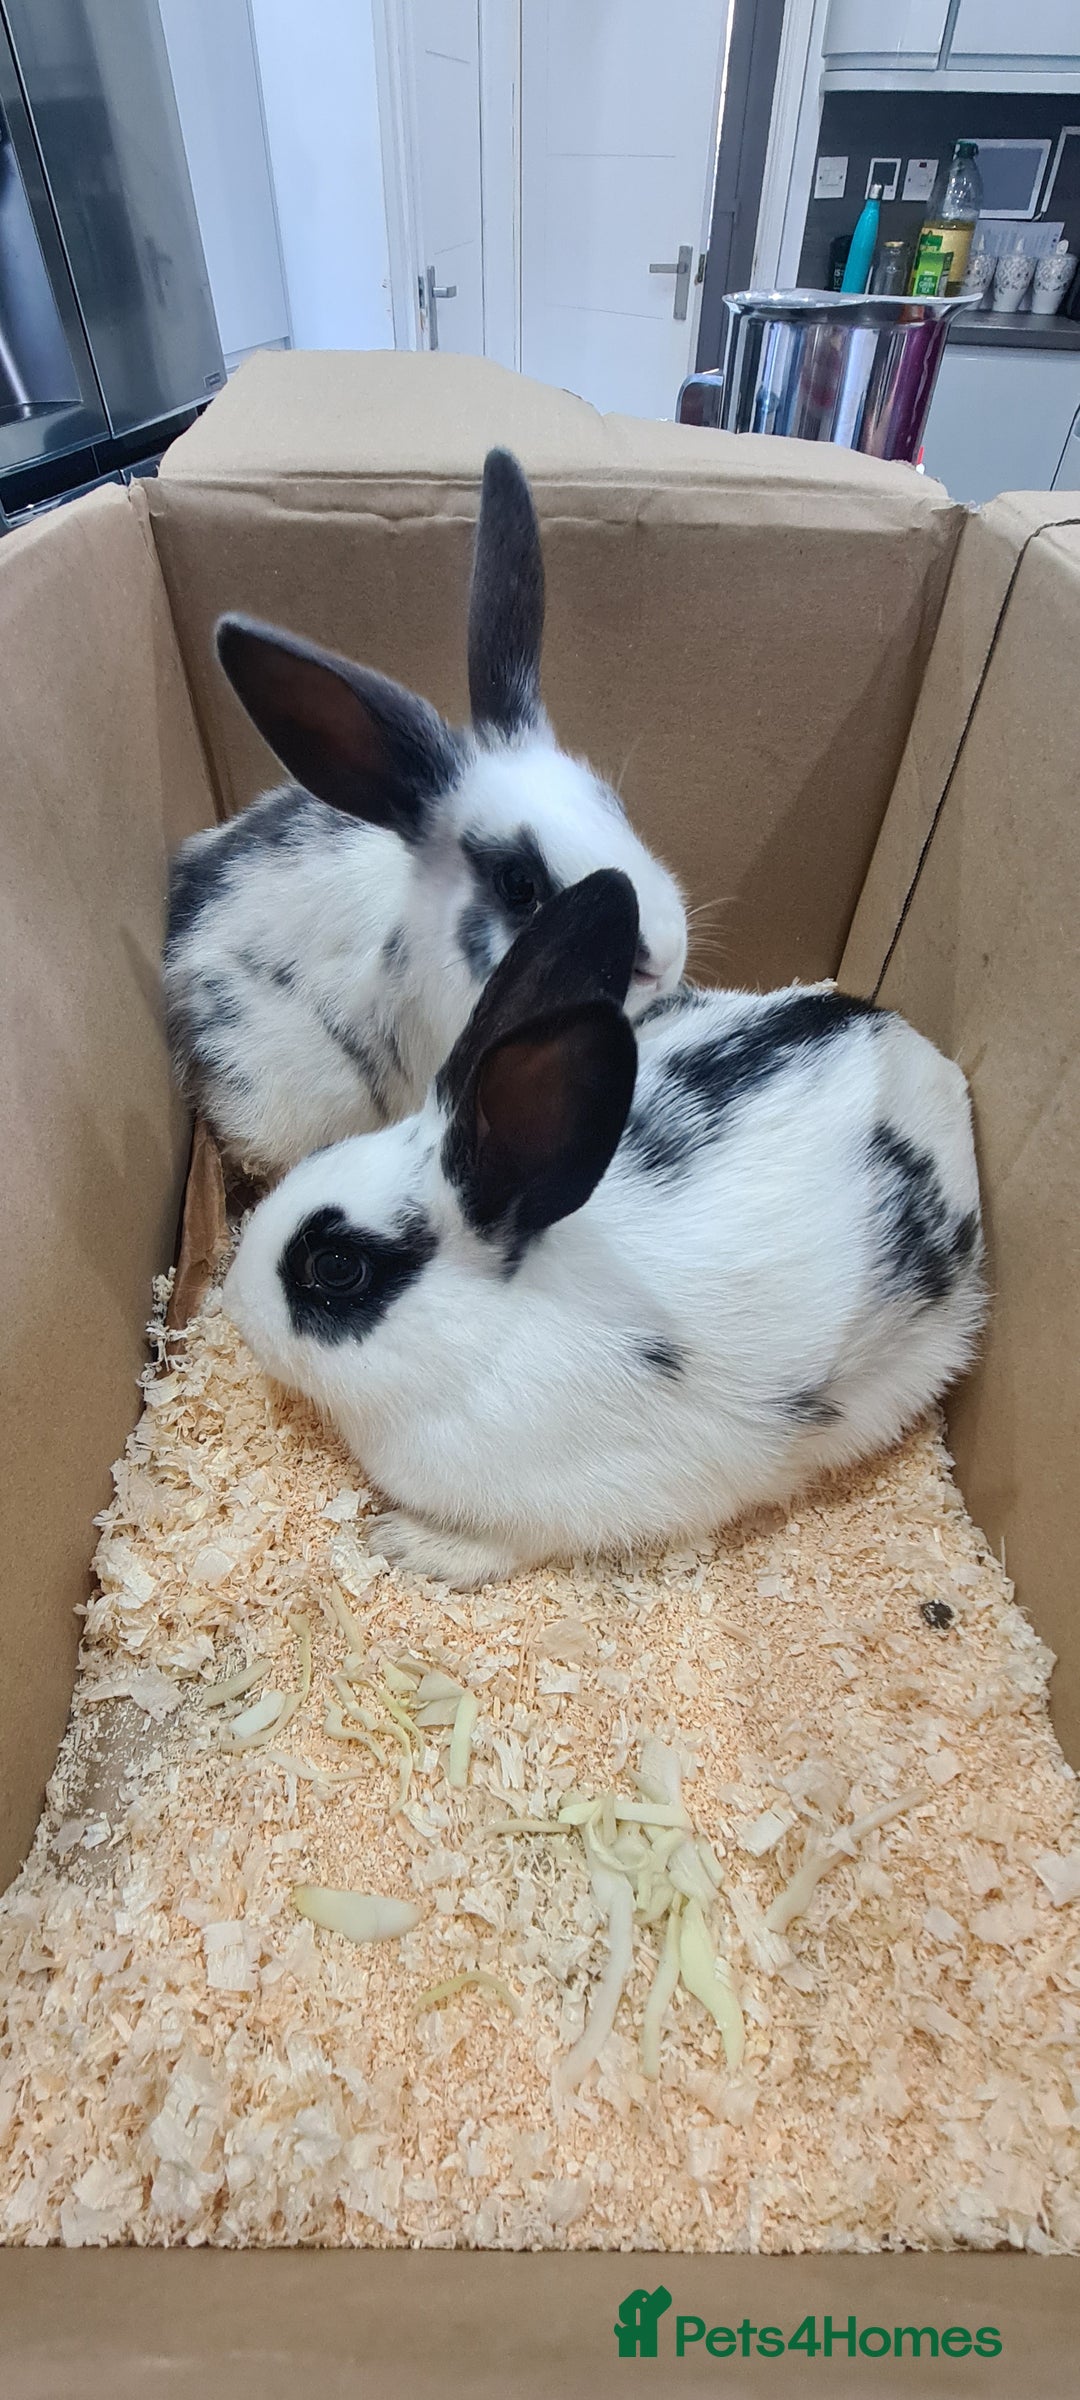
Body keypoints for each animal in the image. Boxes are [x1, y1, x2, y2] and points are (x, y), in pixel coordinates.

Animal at [221, 869, 985, 1590]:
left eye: (336, 1268)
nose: (234, 1307)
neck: (483, 1339)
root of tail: (928, 1062)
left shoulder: (583, 1499)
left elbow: (508, 1544)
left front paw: (409, 1544)